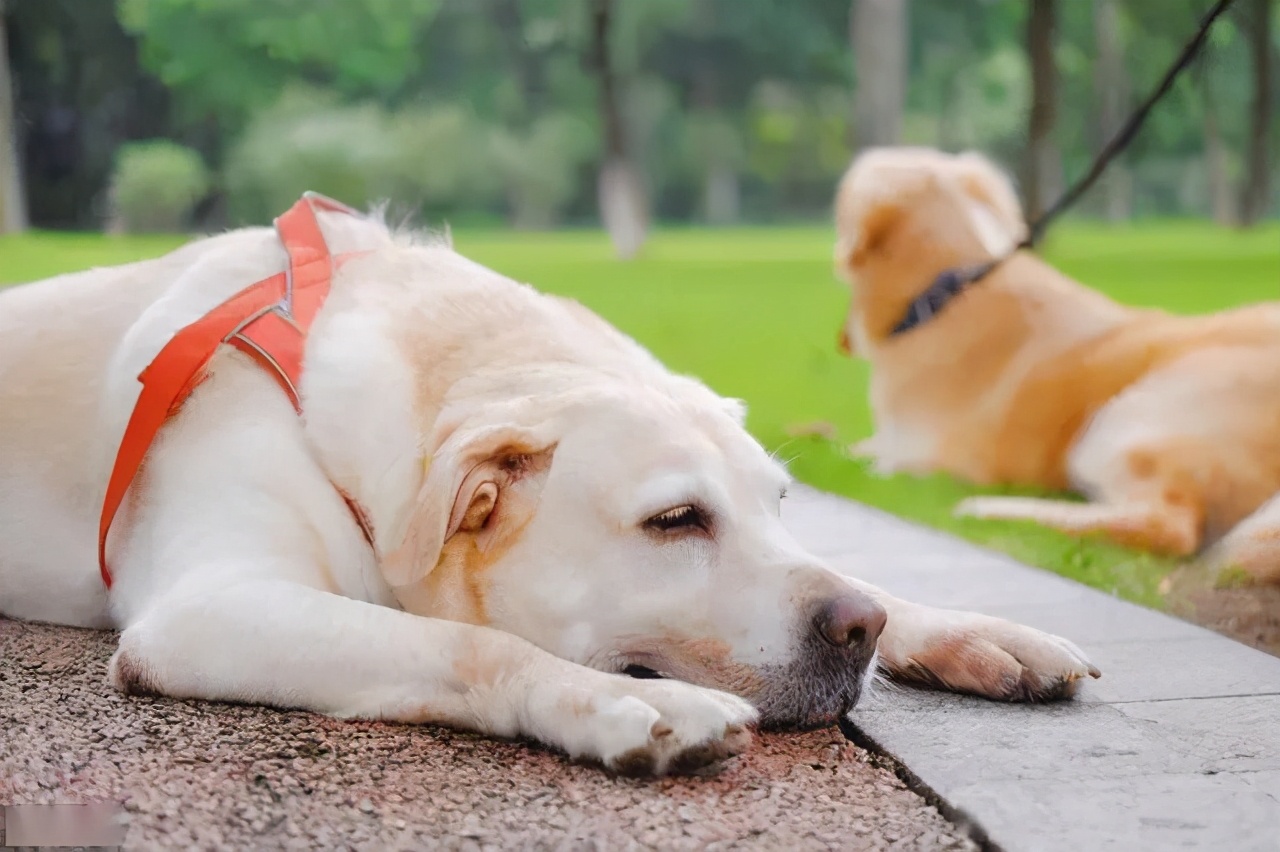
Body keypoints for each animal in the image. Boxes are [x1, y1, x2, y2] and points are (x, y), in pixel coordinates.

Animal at [0, 195, 1100, 772]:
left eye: (780, 504)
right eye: (674, 520)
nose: (856, 629)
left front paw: (965, 629)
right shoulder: (207, 609)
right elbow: (470, 642)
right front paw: (615, 704)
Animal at [834, 147, 1280, 583]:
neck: (947, 289)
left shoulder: (919, 456)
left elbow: (859, 458)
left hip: (1125, 418)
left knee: (1170, 524)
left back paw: (993, 508)